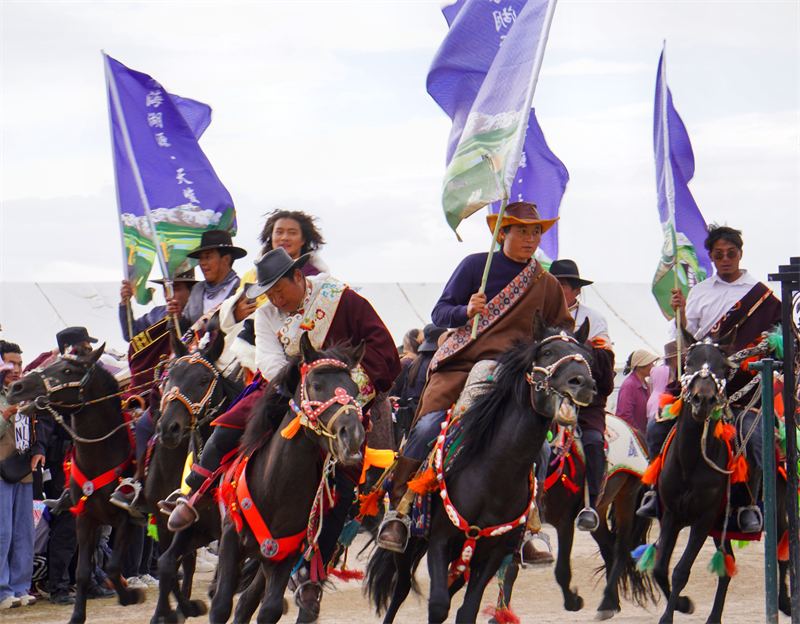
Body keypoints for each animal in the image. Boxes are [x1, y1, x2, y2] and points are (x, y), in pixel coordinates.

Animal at [7, 346, 145, 624]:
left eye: (68, 370)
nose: (16, 386)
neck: (102, 455)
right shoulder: (85, 518)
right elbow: (82, 571)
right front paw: (77, 616)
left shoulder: (127, 518)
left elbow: (113, 567)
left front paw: (130, 596)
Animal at [145, 330, 244, 620]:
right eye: (169, 377)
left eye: (203, 380)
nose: (169, 428)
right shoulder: (188, 525)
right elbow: (167, 564)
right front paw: (175, 611)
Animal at [208, 334, 368, 624]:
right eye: (316, 385)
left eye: (355, 389)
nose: (352, 437)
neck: (276, 491)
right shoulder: (230, 539)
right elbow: (221, 604)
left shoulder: (284, 556)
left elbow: (268, 609)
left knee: (247, 602)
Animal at [366, 314, 596, 624]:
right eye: (547, 352)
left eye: (587, 358)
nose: (582, 383)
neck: (494, 477)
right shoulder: (439, 540)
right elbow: (437, 606)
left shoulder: (493, 552)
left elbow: (466, 611)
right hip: (410, 544)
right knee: (400, 588)